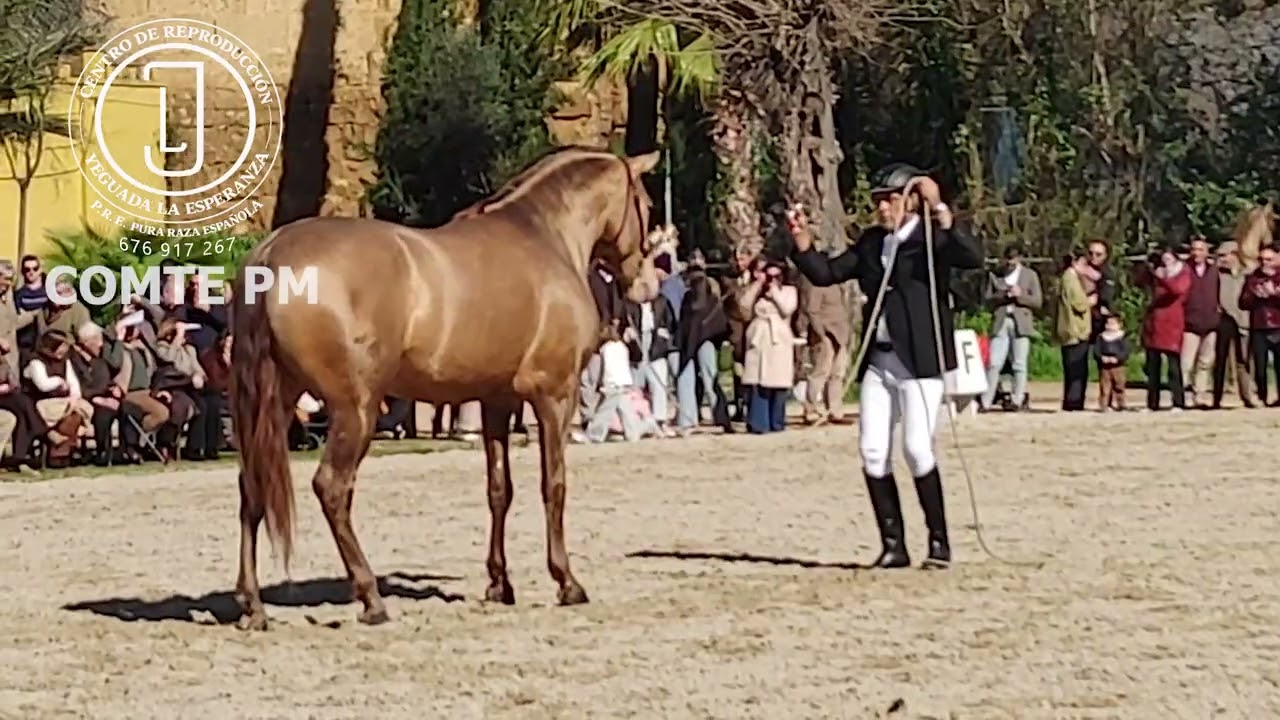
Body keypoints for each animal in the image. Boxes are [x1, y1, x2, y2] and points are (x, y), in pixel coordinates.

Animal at [229, 147, 666, 630]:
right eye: (648, 205)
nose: (646, 285)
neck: (543, 236)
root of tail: (272, 254)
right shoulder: (555, 395)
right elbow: (553, 485)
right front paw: (567, 582)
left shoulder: (496, 400)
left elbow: (499, 490)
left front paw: (499, 584)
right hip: (355, 410)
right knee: (332, 489)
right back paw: (370, 597)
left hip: (273, 405)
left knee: (252, 488)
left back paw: (253, 604)